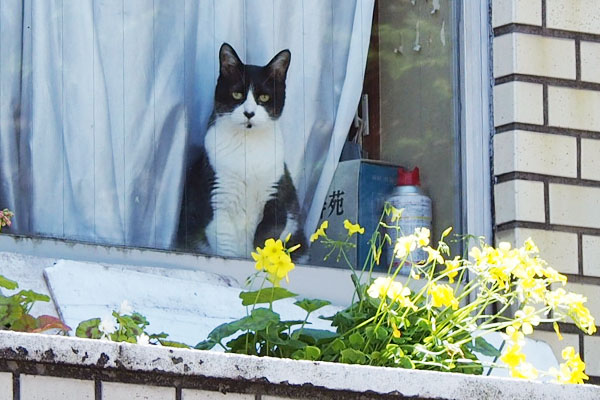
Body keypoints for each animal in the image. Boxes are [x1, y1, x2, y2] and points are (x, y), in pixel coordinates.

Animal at [173, 43, 304, 260]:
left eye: (264, 97)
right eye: (237, 95)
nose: (249, 113)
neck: (247, 144)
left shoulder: (276, 191)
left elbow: (270, 232)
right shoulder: (218, 198)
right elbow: (227, 247)